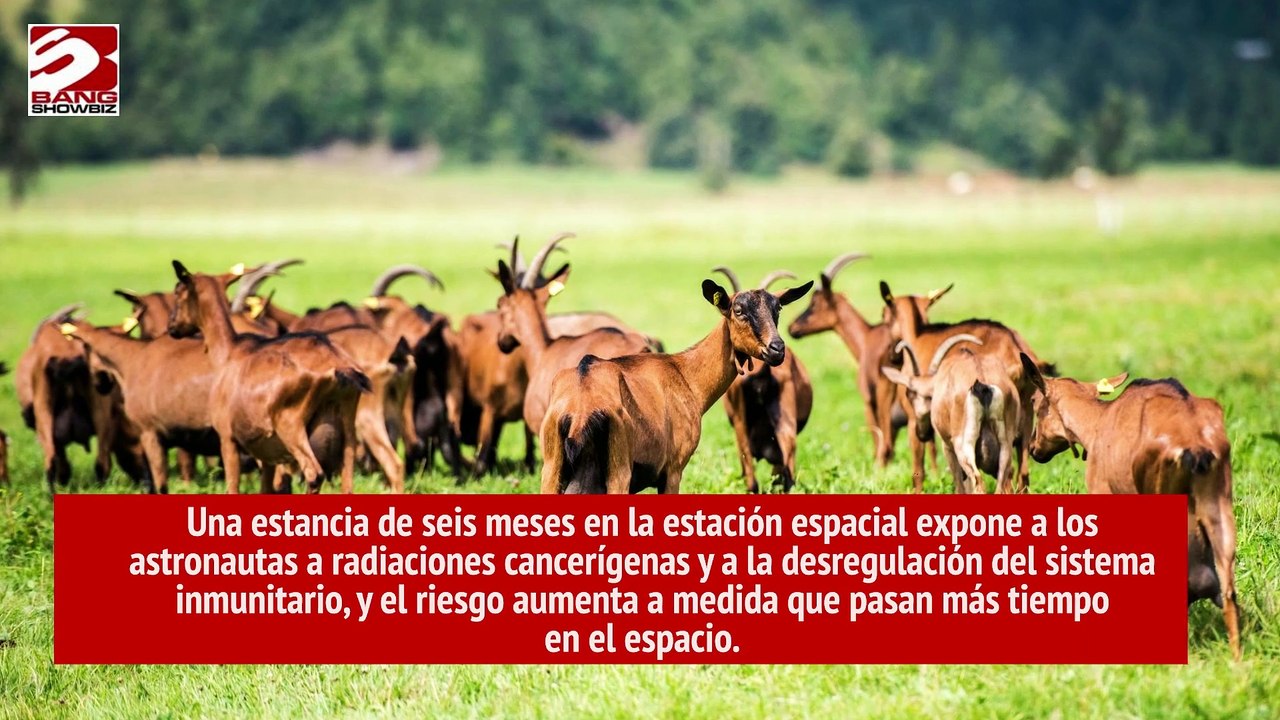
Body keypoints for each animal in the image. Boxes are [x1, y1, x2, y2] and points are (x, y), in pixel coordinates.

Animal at [167, 261, 369, 494]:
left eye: (178, 291)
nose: (172, 327)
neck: (229, 353)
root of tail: (338, 366)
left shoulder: (228, 439)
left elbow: (232, 487)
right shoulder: (268, 455)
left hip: (292, 427)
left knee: (314, 473)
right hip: (347, 434)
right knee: (347, 483)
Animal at [883, 335, 1023, 494]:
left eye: (909, 394)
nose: (922, 434)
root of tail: (982, 385)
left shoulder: (947, 446)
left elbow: (960, 484)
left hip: (963, 445)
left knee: (978, 483)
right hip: (1005, 446)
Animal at [1019, 356, 1239, 661]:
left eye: (1034, 400)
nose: (1033, 449)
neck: (1098, 421)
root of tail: (1194, 445)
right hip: (1218, 505)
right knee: (1228, 590)